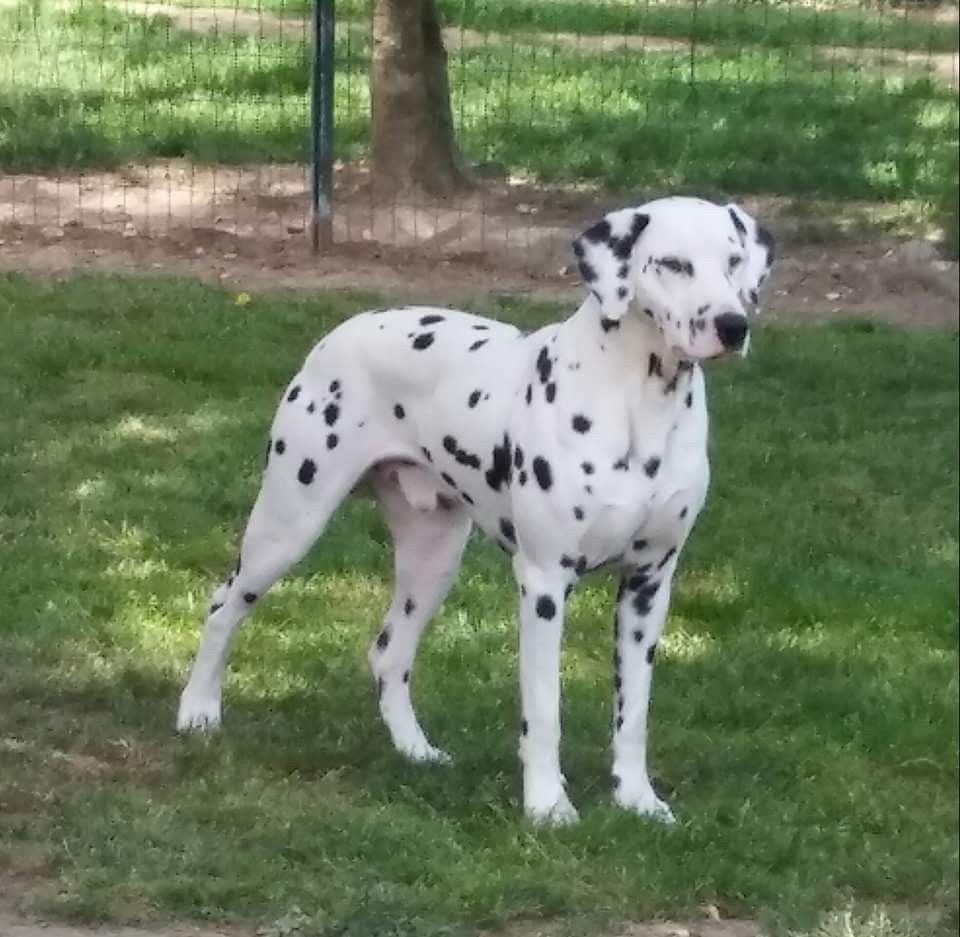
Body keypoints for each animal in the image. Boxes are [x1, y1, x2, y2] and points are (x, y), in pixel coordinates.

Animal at [180, 194, 776, 824]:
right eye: (672, 264)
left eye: (733, 261)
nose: (733, 325)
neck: (641, 405)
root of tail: (346, 329)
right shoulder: (544, 584)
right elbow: (543, 712)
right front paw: (548, 806)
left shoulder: (648, 585)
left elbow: (632, 713)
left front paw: (638, 799)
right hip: (288, 523)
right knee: (223, 606)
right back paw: (197, 711)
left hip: (433, 561)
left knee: (388, 654)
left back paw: (415, 750)